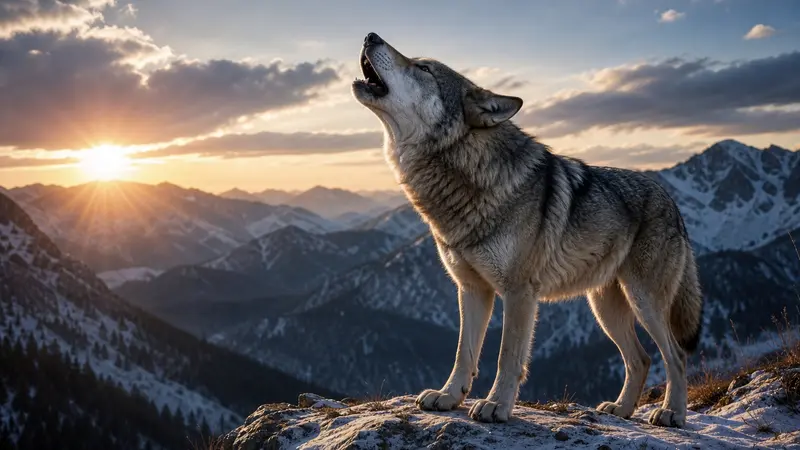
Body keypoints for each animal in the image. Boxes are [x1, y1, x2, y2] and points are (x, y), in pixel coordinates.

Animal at [351, 32, 703, 428]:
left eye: (423, 67)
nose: (370, 35)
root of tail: (671, 200)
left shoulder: (519, 293)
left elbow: (507, 356)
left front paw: (495, 406)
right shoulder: (471, 289)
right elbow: (464, 352)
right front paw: (448, 397)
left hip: (645, 302)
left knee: (676, 355)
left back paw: (672, 413)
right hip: (605, 306)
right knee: (641, 359)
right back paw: (621, 409)